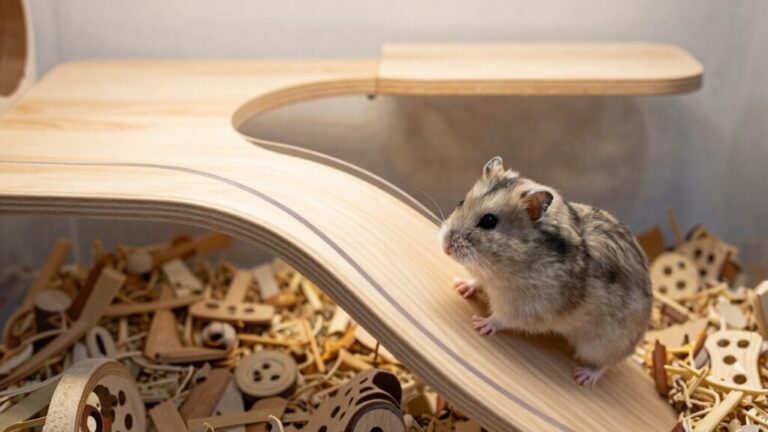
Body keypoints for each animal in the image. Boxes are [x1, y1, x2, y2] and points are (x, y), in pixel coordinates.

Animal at [438, 156, 652, 387]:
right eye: (461, 202)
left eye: (489, 221)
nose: (446, 248)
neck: (501, 266)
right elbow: (476, 281)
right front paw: (459, 286)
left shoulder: (524, 307)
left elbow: (501, 318)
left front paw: (480, 324)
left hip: (602, 343)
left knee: (605, 363)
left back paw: (584, 377)